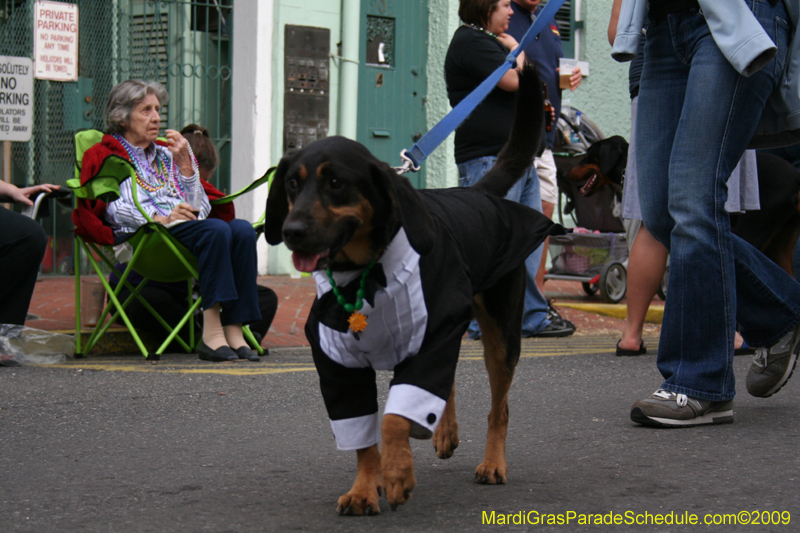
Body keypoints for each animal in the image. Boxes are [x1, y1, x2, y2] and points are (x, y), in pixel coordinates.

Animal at [264, 64, 564, 512]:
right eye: (291, 185)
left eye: (335, 182)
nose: (291, 231)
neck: (365, 272)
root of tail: (477, 191)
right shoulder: (340, 363)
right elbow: (363, 435)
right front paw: (364, 487)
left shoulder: (432, 337)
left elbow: (392, 419)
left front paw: (397, 473)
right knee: (447, 383)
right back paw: (439, 430)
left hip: (500, 334)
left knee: (499, 407)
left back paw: (492, 462)